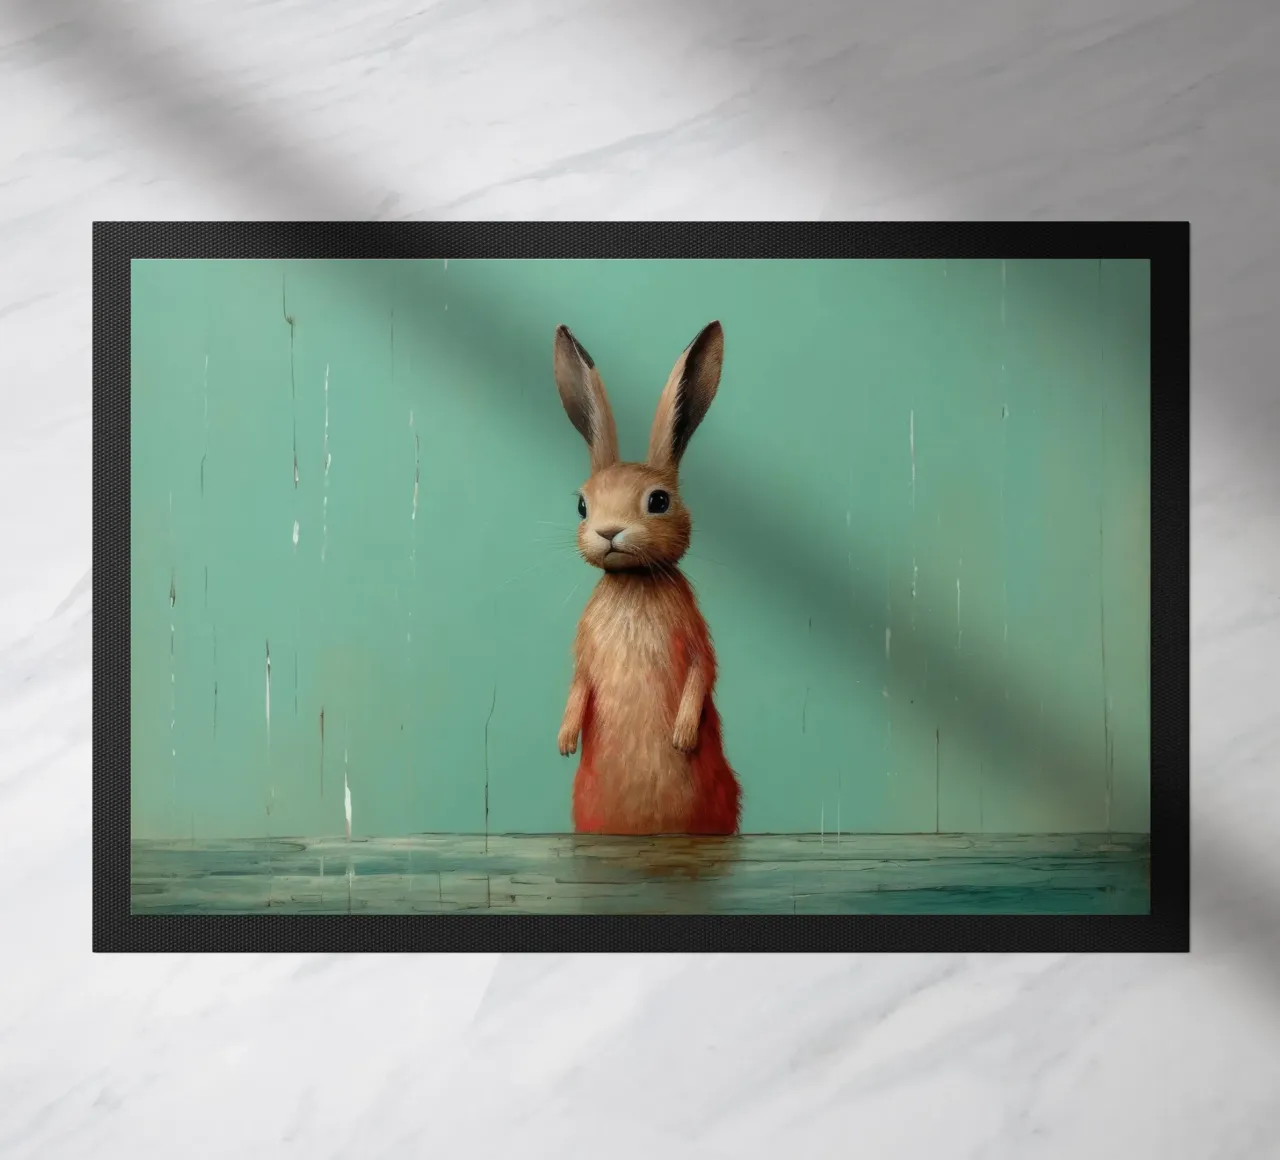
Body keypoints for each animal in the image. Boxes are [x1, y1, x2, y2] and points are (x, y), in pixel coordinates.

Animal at [552, 320, 742, 836]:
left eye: (659, 501)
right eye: (582, 506)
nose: (608, 532)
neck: (633, 580)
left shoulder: (696, 639)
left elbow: (702, 673)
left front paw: (681, 737)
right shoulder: (584, 655)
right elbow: (578, 685)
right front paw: (565, 740)